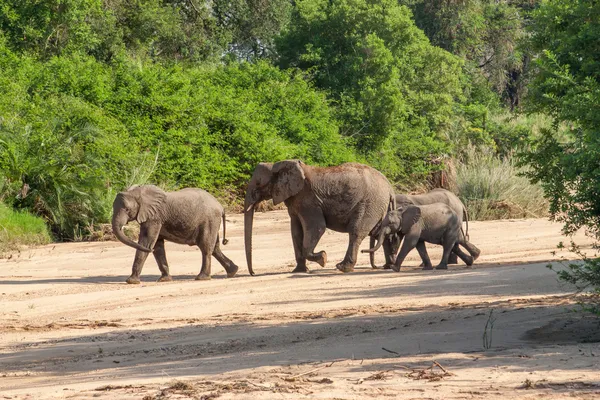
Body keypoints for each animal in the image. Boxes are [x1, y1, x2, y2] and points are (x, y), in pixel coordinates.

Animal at [244, 159, 394, 276]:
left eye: (258, 183)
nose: (253, 273)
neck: (278, 164)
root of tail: (390, 188)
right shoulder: (294, 201)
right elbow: (296, 232)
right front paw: (299, 271)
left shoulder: (308, 200)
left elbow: (317, 227)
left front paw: (323, 258)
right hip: (379, 206)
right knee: (380, 232)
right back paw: (389, 266)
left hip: (370, 203)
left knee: (356, 231)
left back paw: (343, 267)